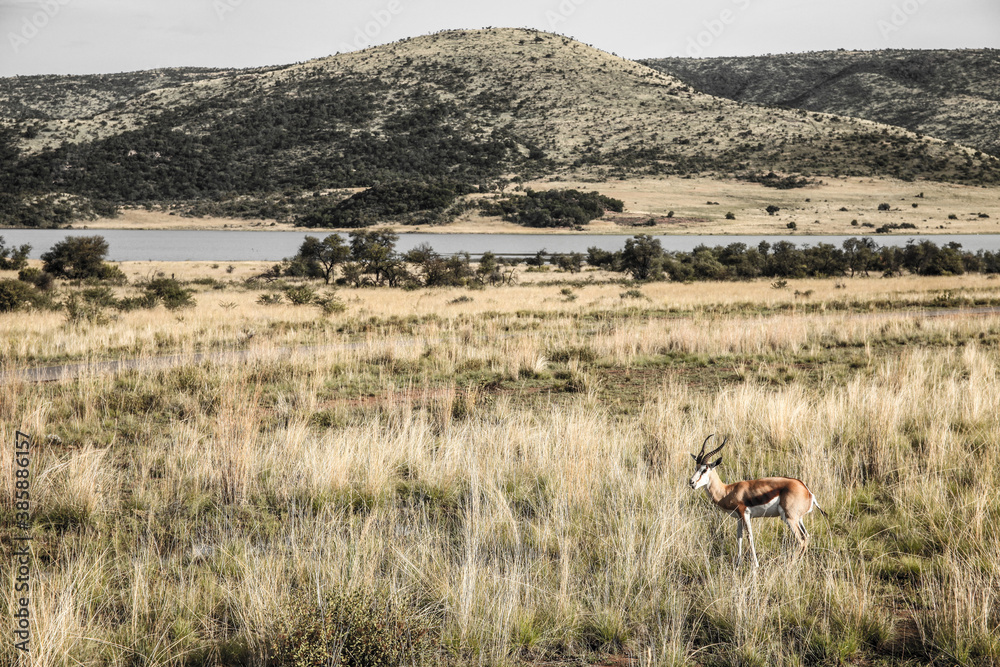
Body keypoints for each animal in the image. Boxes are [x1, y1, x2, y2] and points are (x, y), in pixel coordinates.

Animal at [689, 434, 828, 567]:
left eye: (704, 469)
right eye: (695, 468)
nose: (692, 482)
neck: (727, 491)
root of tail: (808, 491)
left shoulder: (745, 514)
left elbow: (749, 536)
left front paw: (755, 565)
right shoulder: (739, 518)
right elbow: (739, 538)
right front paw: (737, 565)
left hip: (789, 518)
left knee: (801, 539)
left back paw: (790, 565)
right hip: (798, 519)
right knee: (807, 537)